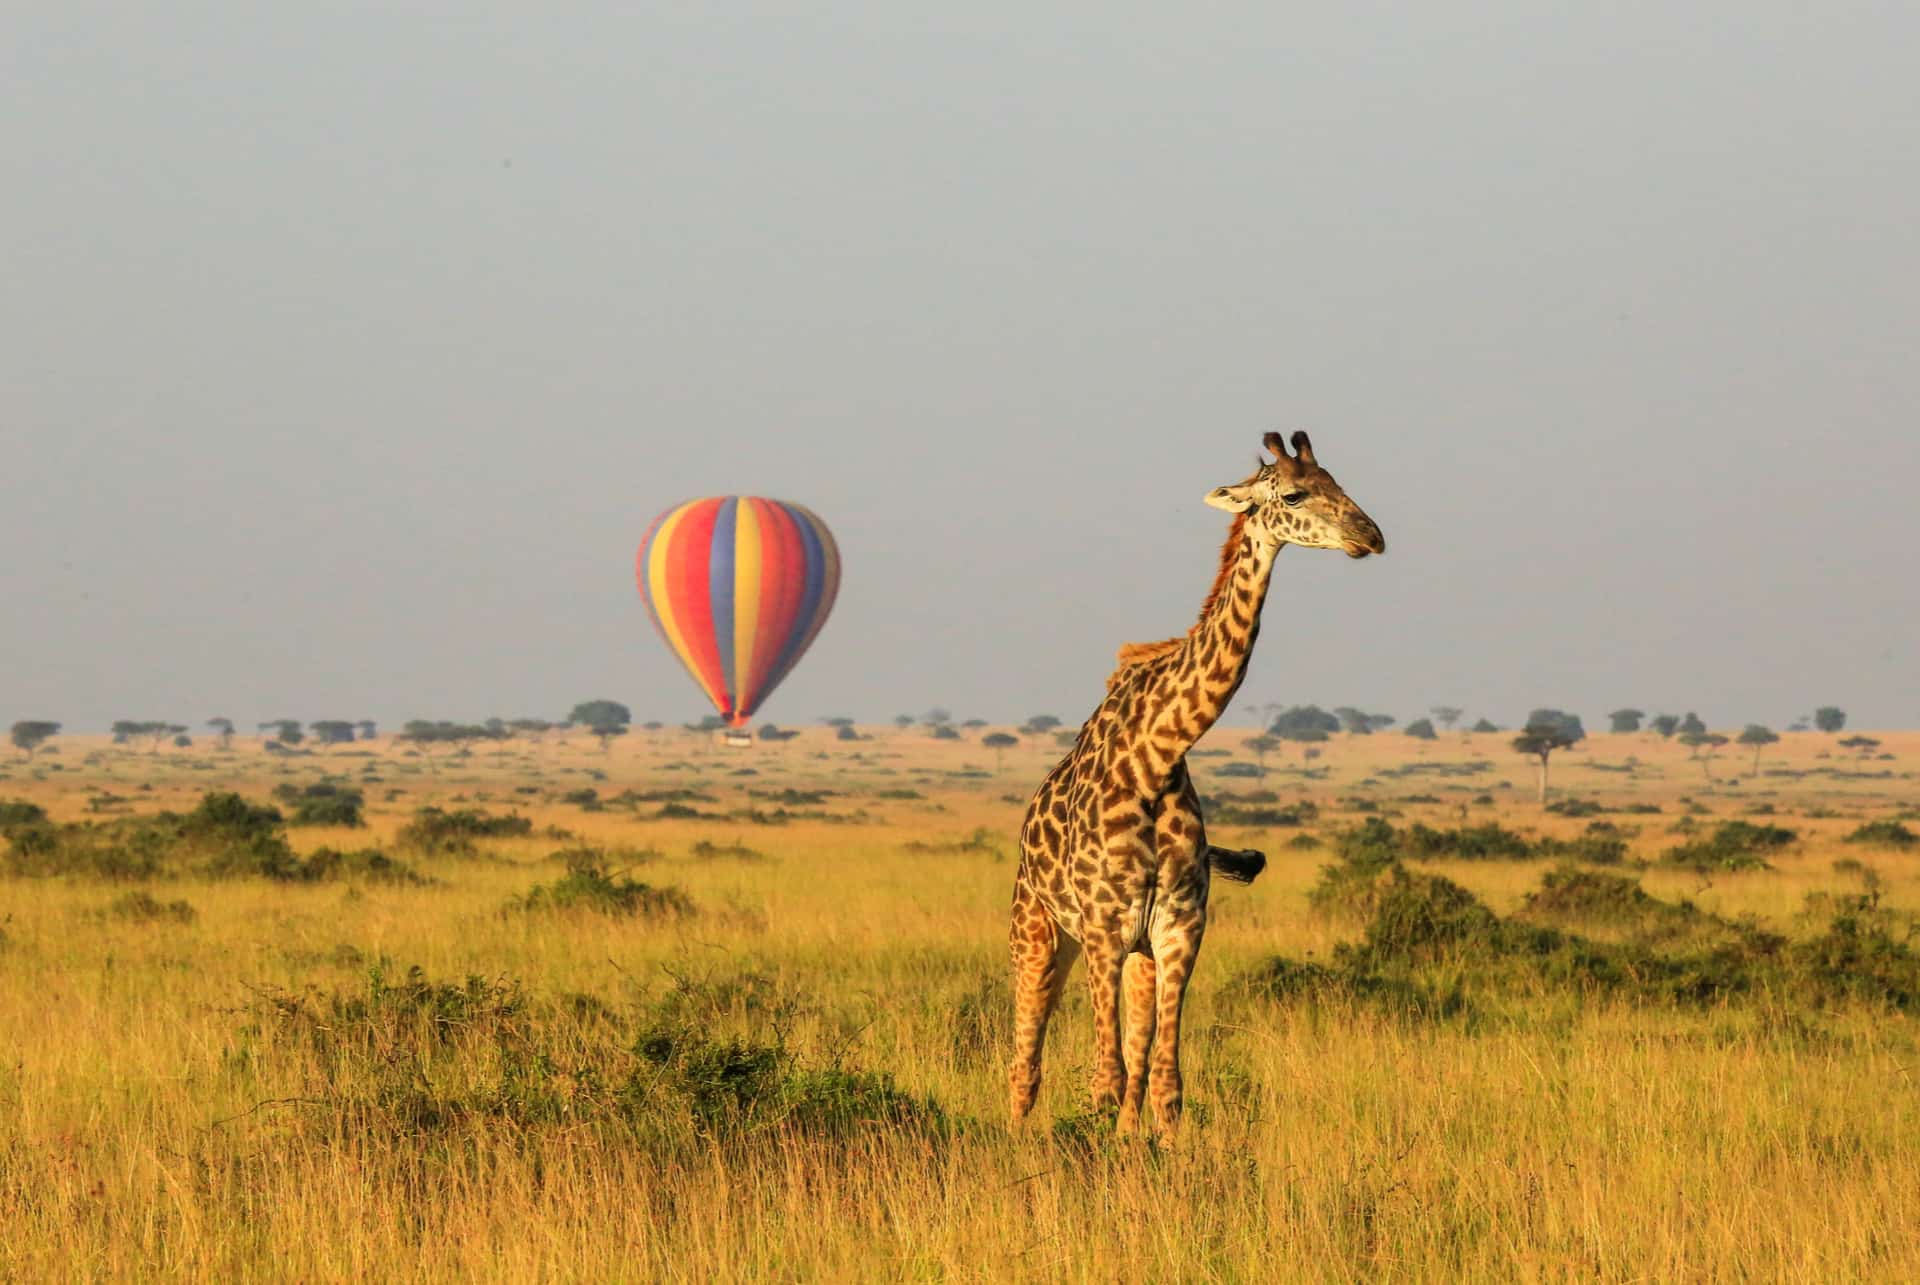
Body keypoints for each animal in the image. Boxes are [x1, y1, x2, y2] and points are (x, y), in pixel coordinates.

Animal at [1006, 430, 1382, 1129]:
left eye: (1339, 483)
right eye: (1294, 494)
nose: (1369, 535)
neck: (1154, 758)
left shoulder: (1179, 928)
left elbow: (1162, 1085)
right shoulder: (1103, 926)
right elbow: (1103, 1081)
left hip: (1136, 955)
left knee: (1129, 1070)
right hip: (1038, 932)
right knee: (1026, 1065)